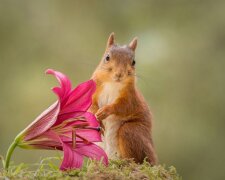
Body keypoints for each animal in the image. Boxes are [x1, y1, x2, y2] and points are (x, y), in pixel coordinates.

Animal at [89, 32, 156, 165]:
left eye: (133, 62)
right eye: (107, 57)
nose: (119, 74)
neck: (112, 83)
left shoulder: (131, 97)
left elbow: (124, 107)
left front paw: (106, 110)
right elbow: (90, 104)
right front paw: (96, 114)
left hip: (131, 132)